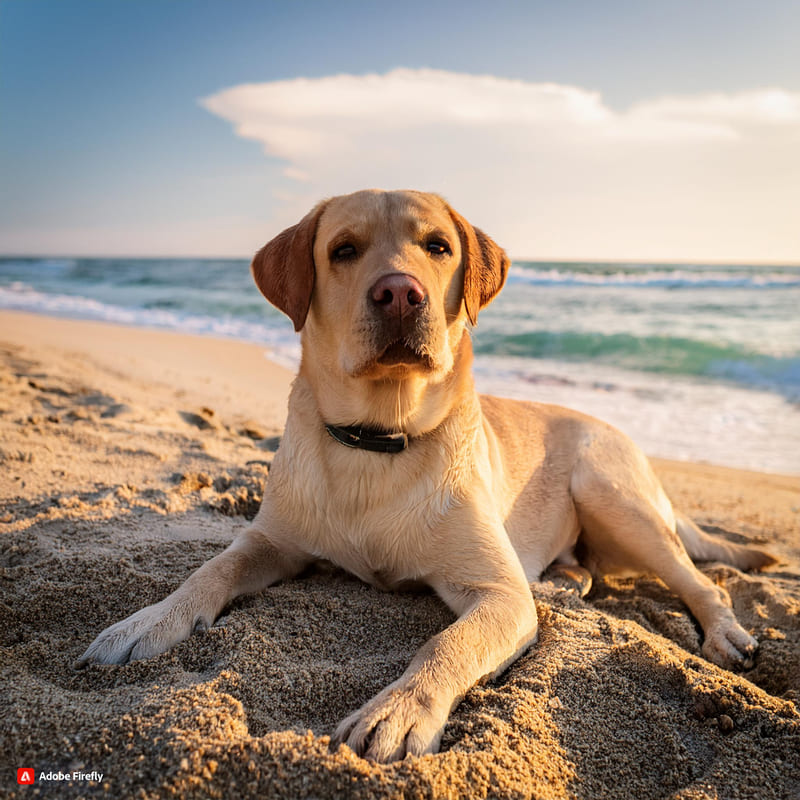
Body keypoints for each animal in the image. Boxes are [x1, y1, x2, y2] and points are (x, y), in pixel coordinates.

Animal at [78, 188, 780, 764]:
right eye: (344, 250)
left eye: (438, 247)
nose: (399, 292)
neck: (379, 438)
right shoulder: (269, 540)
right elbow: (210, 569)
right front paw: (147, 621)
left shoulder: (498, 594)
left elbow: (447, 645)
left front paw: (397, 712)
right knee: (588, 570)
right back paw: (563, 583)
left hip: (609, 491)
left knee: (702, 582)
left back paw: (725, 635)